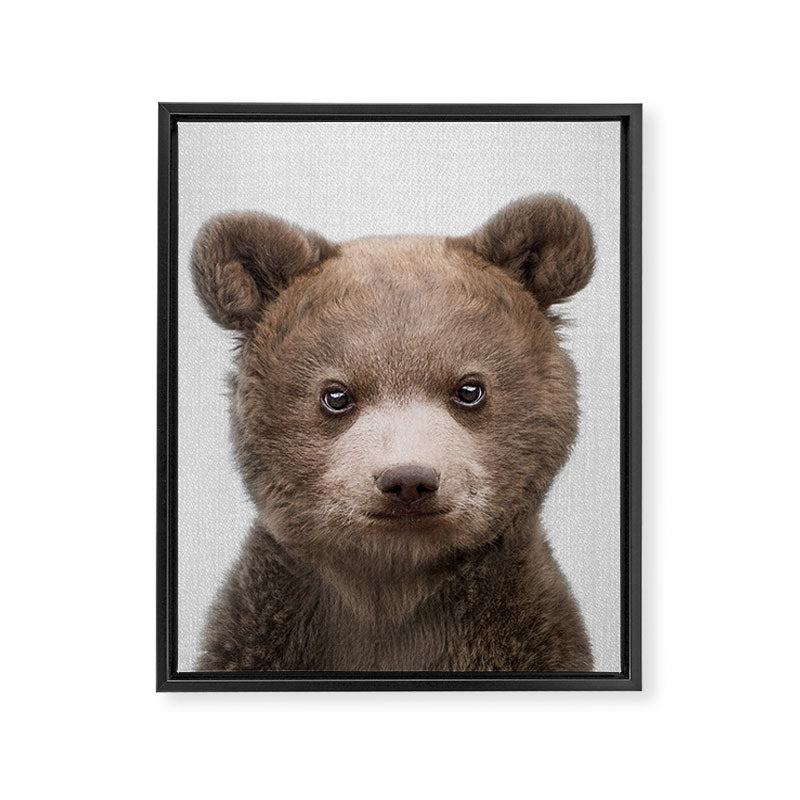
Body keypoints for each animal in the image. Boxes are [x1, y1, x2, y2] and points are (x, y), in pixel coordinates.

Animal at [191, 194, 595, 672]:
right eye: (336, 395)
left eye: (469, 389)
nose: (408, 480)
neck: (393, 588)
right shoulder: (263, 628)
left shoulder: (523, 630)